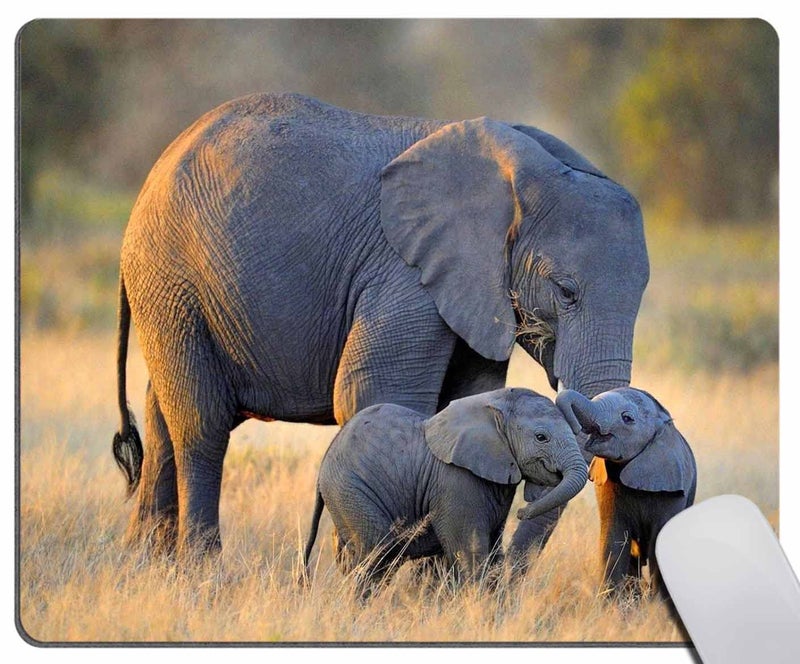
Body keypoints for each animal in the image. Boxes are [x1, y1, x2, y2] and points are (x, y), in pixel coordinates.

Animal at [111, 92, 649, 559]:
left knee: (162, 417)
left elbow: (467, 398)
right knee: (200, 425)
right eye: (566, 291)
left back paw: (146, 566)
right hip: (171, 279)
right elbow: (374, 391)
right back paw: (201, 572)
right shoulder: (403, 272)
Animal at [301, 388, 588, 598]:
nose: (522, 511)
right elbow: (471, 553)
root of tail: (325, 460)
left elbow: (494, 553)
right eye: (541, 437)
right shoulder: (456, 482)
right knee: (377, 555)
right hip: (351, 490)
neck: (494, 404)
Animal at [555, 387, 697, 598]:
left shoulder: (672, 489)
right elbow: (613, 540)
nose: (575, 428)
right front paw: (612, 603)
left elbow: (659, 543)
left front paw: (656, 605)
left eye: (627, 418)